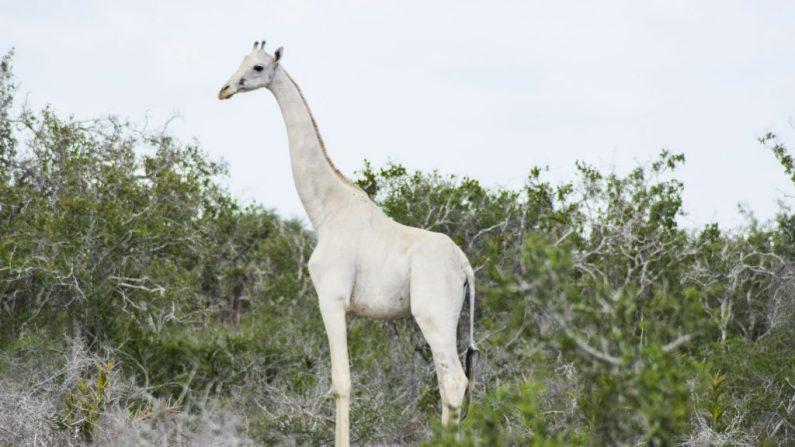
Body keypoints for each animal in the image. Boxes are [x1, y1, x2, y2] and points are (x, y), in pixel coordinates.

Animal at [218, 41, 477, 447]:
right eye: (240, 60)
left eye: (258, 67)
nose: (225, 89)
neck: (326, 210)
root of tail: (464, 264)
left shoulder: (332, 296)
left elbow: (341, 383)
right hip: (450, 319)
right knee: (450, 385)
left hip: (433, 315)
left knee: (453, 383)